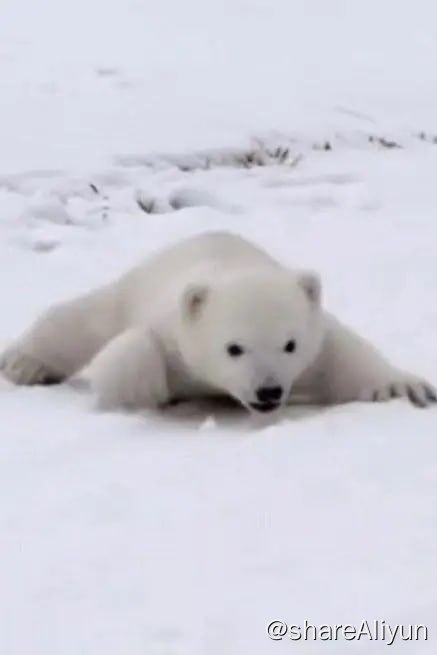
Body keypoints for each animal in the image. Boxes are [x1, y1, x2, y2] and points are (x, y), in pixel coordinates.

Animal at [1, 231, 435, 414]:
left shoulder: (314, 342)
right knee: (78, 319)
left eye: (290, 344)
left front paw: (406, 387)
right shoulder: (171, 329)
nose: (269, 391)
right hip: (127, 288)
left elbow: (344, 351)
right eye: (234, 348)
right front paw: (147, 392)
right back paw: (24, 364)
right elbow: (130, 350)